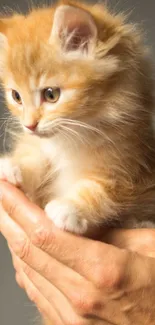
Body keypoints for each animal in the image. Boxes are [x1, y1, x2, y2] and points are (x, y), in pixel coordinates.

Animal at [0, 0, 155, 235]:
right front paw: (14, 166)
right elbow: (37, 159)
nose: (29, 125)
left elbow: (102, 191)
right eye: (16, 96)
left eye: (51, 94)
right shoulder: (43, 146)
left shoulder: (128, 168)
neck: (76, 134)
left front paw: (70, 208)